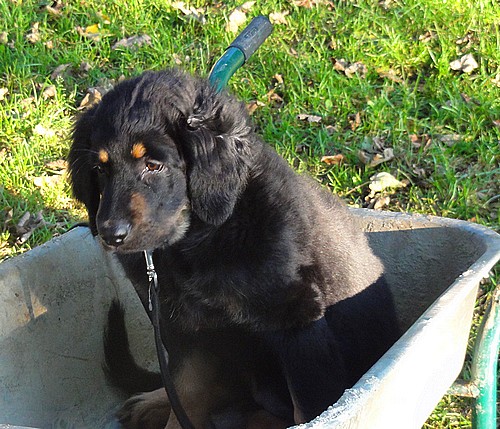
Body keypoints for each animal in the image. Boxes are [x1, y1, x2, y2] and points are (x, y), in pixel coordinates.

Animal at [68, 68, 400, 426]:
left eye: (154, 165)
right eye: (100, 169)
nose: (110, 235)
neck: (198, 239)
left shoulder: (297, 317)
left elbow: (307, 409)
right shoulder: (183, 326)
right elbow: (185, 392)